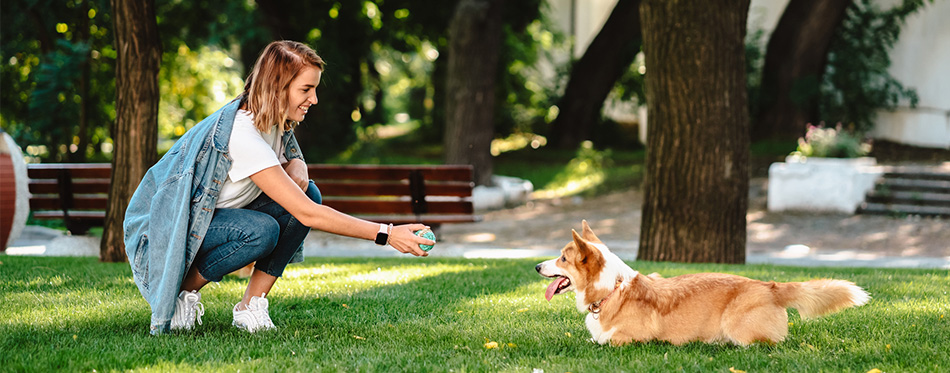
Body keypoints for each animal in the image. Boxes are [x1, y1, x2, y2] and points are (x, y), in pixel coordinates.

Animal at [536, 221, 872, 346]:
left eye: (562, 258)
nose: (537, 265)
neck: (613, 289)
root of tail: (770, 286)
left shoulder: (627, 340)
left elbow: (606, 341)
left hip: (740, 327)